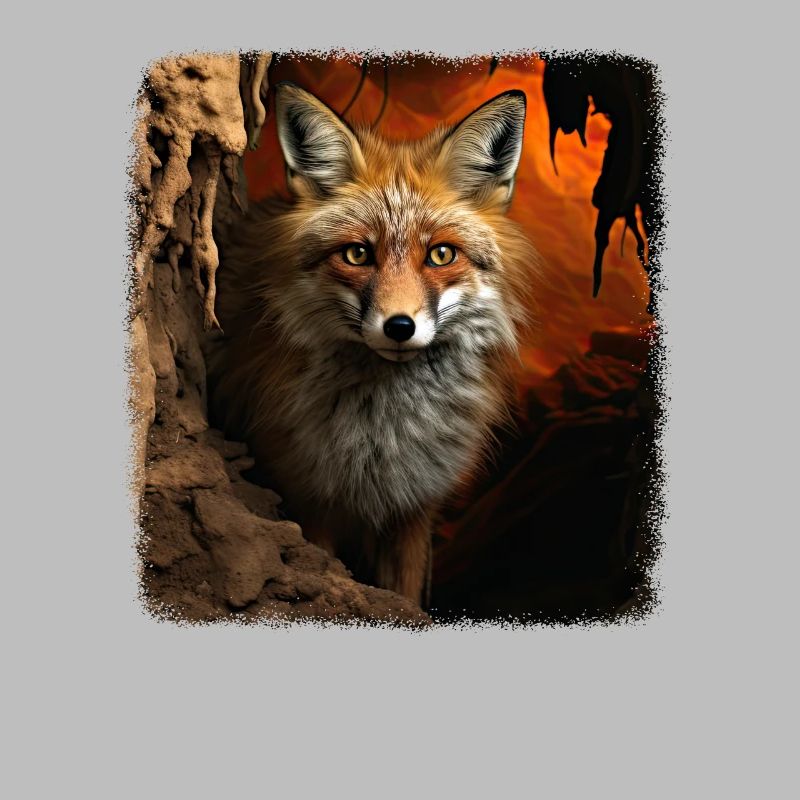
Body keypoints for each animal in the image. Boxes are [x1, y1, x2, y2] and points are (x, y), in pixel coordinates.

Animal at [207, 81, 540, 607]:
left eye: (440, 254)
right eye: (357, 254)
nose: (399, 326)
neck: (382, 437)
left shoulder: (415, 508)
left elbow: (405, 595)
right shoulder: (309, 501)